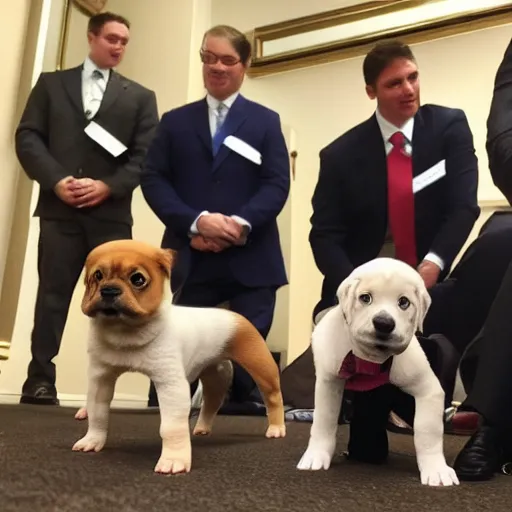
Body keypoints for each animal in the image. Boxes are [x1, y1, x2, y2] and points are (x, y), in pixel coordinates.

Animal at [73, 241, 288, 476]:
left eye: (137, 279)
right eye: (98, 276)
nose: (109, 289)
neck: (125, 330)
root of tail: (234, 316)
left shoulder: (170, 386)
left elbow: (171, 427)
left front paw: (174, 459)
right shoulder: (101, 379)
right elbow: (98, 414)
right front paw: (92, 440)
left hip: (262, 370)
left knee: (273, 398)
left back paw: (276, 428)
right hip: (215, 376)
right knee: (212, 402)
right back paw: (202, 428)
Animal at [296, 258, 460, 486]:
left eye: (403, 302)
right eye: (365, 298)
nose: (383, 323)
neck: (370, 359)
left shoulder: (429, 391)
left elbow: (428, 431)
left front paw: (436, 468)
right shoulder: (329, 383)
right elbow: (324, 421)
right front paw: (316, 455)